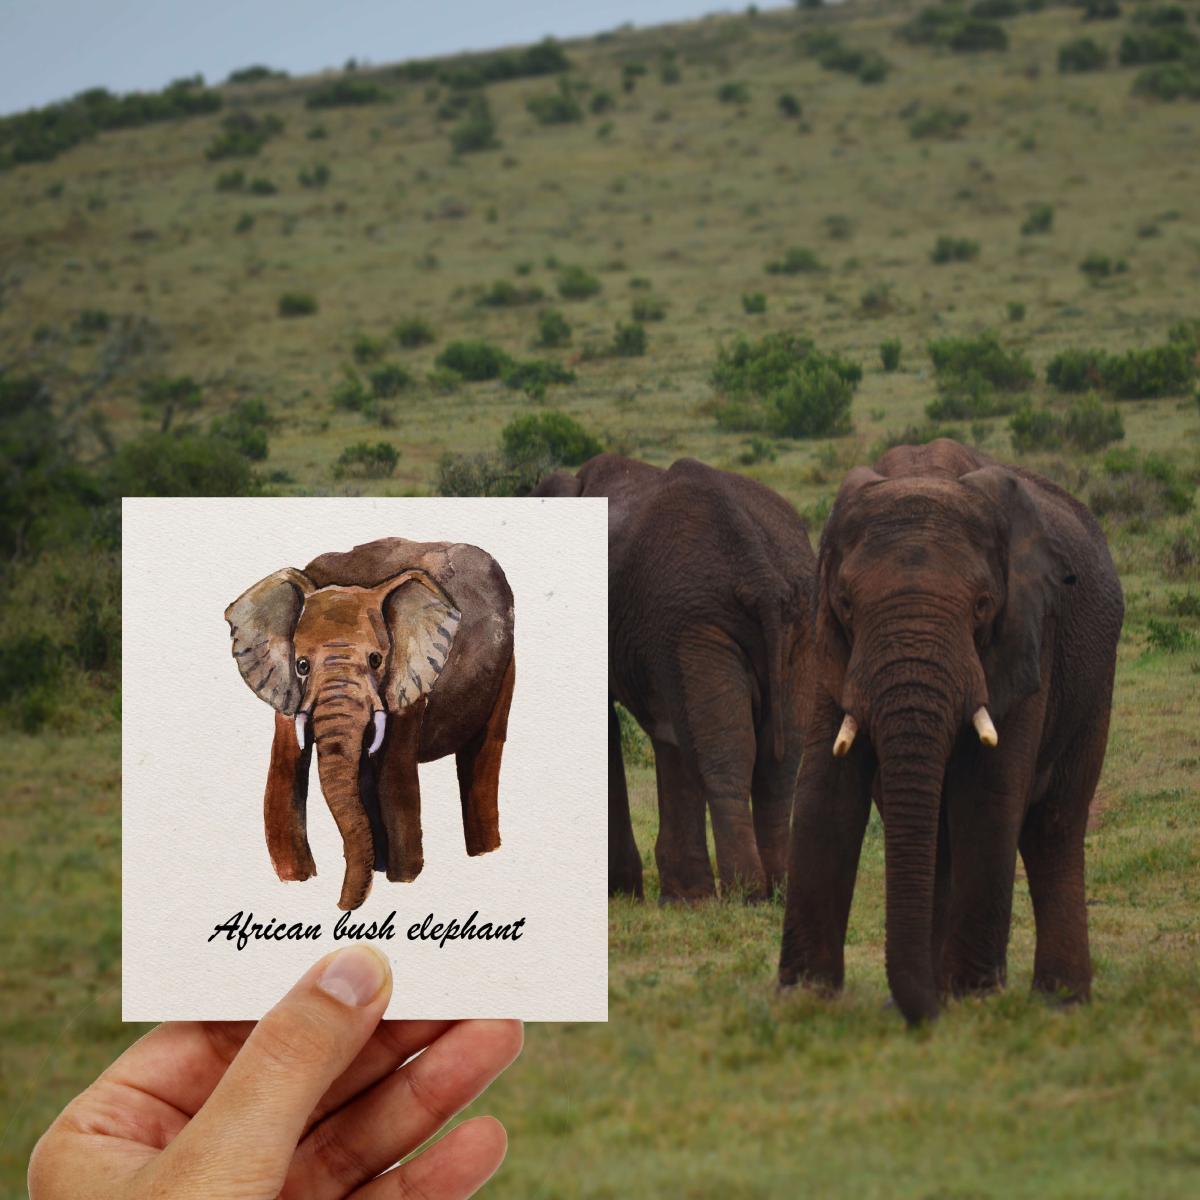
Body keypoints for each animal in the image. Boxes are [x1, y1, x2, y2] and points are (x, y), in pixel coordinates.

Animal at [225, 537, 515, 911]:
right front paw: (298, 880)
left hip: (506, 665)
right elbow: (284, 773)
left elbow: (395, 780)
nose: (339, 906)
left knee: (483, 757)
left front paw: (403, 881)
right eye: (302, 665)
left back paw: (482, 853)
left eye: (376, 660)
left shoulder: (409, 673)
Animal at [534, 454, 815, 903]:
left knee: (726, 756)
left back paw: (745, 894)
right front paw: (685, 900)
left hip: (699, 622)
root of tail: (762, 579)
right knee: (778, 761)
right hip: (788, 623)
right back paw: (776, 893)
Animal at [778, 438, 1123, 1024]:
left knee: (1054, 826)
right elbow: (825, 791)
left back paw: (1059, 1002)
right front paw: (804, 997)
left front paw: (973, 999)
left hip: (1096, 681)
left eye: (982, 605)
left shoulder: (1029, 634)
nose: (924, 1018)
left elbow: (989, 793)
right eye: (846, 604)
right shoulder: (830, 644)